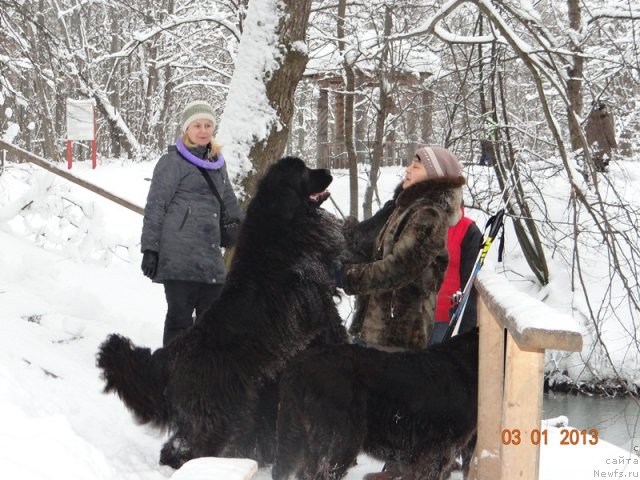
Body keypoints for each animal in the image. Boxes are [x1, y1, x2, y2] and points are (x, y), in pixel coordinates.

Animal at [95, 158, 348, 468]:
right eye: (303, 171)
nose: (328, 170)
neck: (281, 227)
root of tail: (172, 357)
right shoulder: (311, 301)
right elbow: (328, 316)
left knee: (176, 446)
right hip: (218, 416)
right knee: (191, 447)